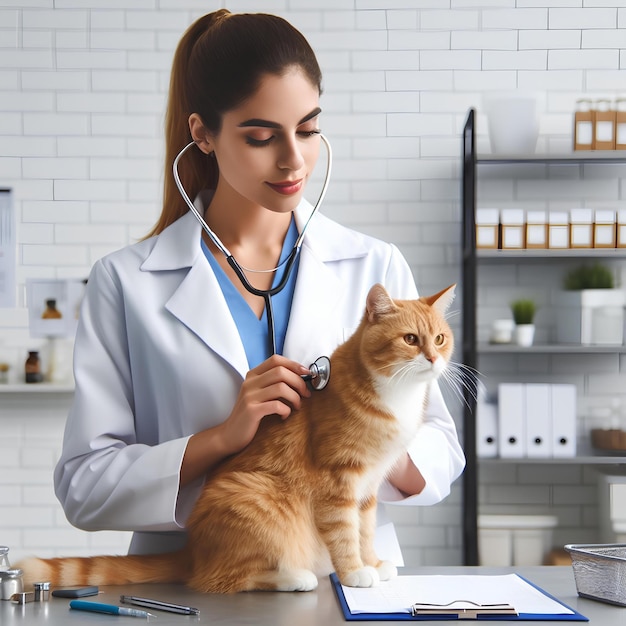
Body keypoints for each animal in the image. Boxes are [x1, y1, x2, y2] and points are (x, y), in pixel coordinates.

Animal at [15, 282, 454, 588]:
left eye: (439, 338)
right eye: (410, 339)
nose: (434, 358)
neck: (393, 393)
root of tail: (193, 550)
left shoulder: (368, 489)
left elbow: (364, 531)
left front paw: (372, 562)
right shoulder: (338, 483)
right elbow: (344, 533)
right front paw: (353, 573)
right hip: (258, 498)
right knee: (220, 579)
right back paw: (294, 577)